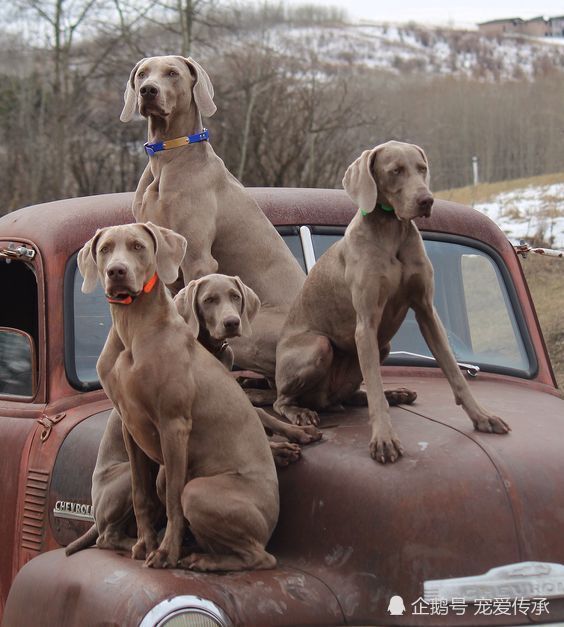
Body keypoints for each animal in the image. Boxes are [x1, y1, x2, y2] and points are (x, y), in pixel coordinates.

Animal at [274, 144, 512, 466]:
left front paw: (482, 416)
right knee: (282, 400)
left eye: (422, 168)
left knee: (347, 396)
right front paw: (384, 440)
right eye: (395, 170)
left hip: (382, 347)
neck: (392, 229)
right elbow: (375, 385)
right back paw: (301, 412)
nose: (427, 200)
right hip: (318, 347)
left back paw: (395, 393)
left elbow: (453, 371)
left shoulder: (426, 311)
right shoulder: (366, 325)